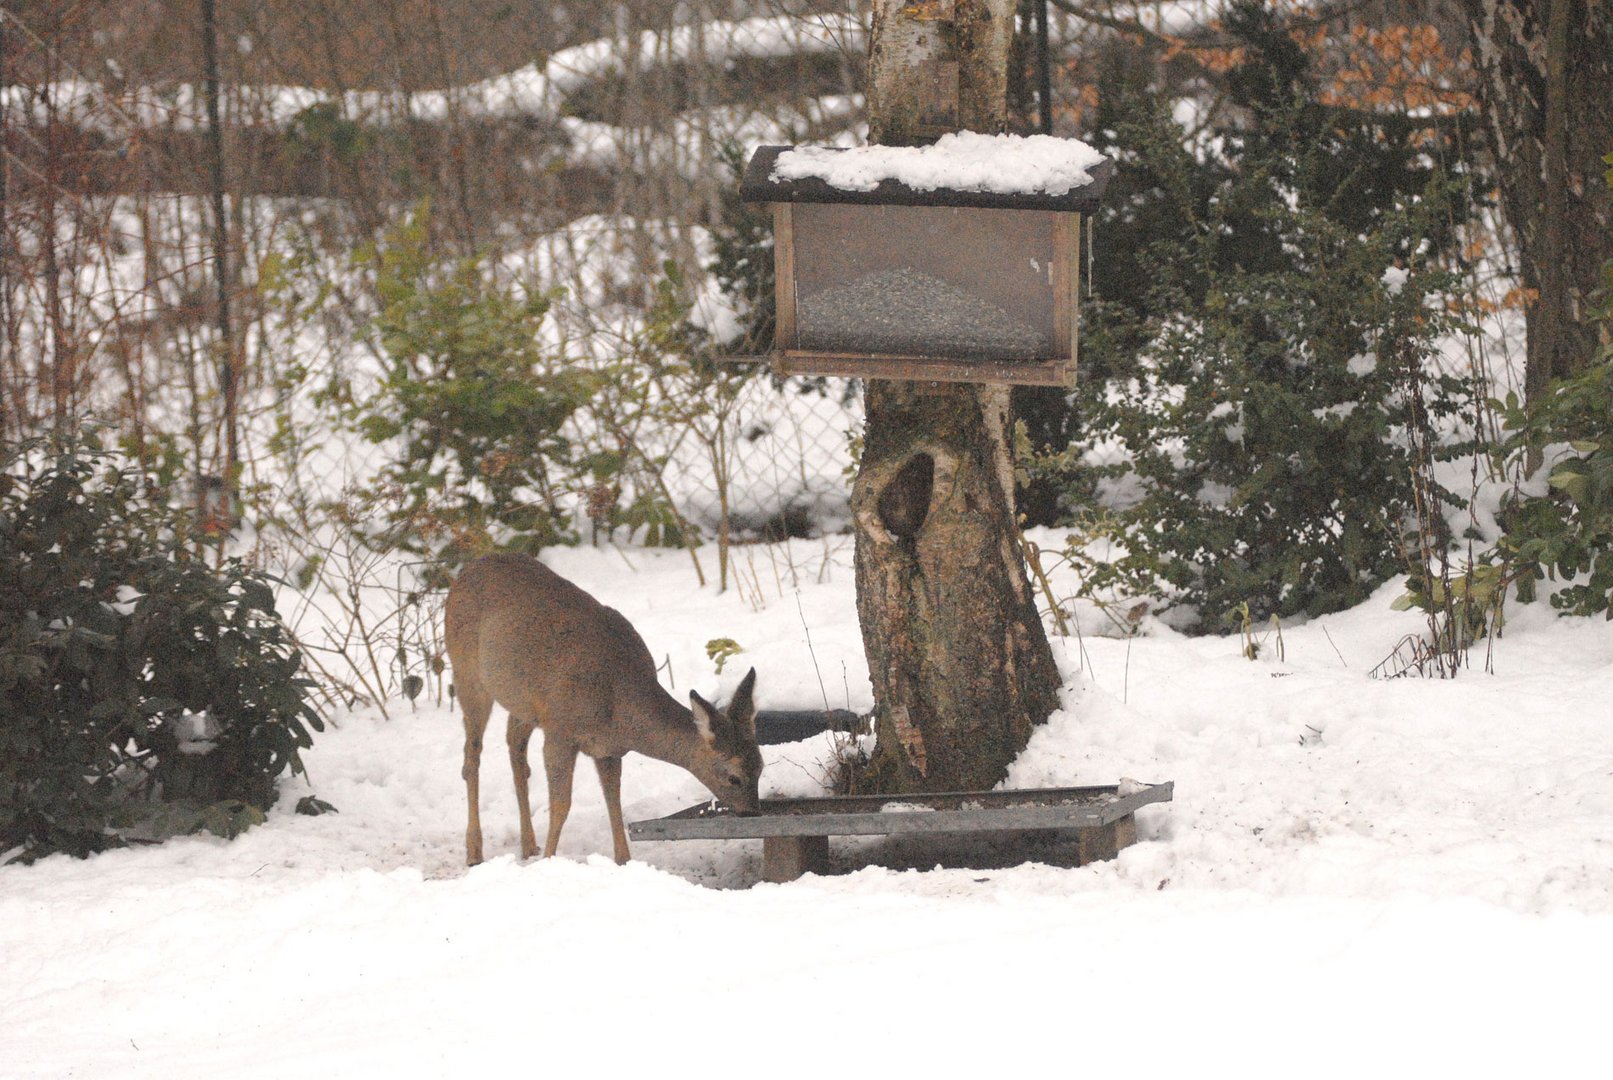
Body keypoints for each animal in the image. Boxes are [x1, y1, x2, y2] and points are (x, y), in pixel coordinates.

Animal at [445, 554, 764, 870]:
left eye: (760, 766)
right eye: (733, 777)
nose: (752, 813)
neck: (618, 707)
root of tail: (466, 571)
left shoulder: (608, 748)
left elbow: (614, 800)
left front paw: (623, 861)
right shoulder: (560, 730)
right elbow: (561, 805)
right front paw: (549, 862)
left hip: (523, 703)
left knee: (515, 750)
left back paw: (528, 845)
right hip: (466, 673)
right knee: (471, 755)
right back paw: (474, 852)